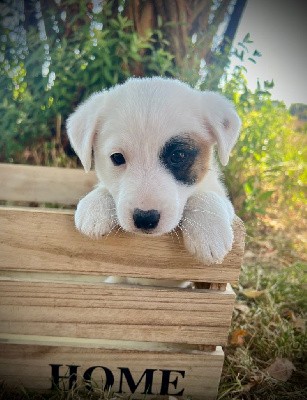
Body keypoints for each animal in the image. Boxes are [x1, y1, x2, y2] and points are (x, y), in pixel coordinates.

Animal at [66, 77, 242, 270]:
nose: (145, 219)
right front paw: (94, 205)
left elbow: (206, 195)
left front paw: (209, 231)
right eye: (117, 158)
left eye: (178, 156)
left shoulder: (221, 197)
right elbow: (104, 188)